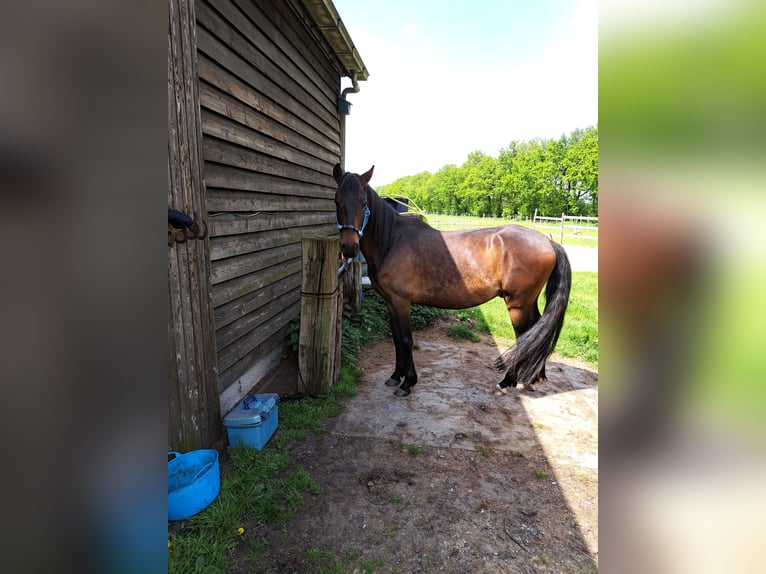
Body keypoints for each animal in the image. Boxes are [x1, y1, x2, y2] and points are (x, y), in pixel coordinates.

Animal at [332, 165, 572, 400]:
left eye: (364, 202)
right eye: (337, 201)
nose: (349, 248)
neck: (392, 240)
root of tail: (548, 242)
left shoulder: (401, 302)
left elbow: (406, 340)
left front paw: (408, 383)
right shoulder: (391, 302)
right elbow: (397, 339)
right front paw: (396, 375)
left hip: (518, 304)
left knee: (525, 336)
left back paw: (506, 382)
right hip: (527, 303)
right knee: (537, 330)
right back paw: (531, 378)